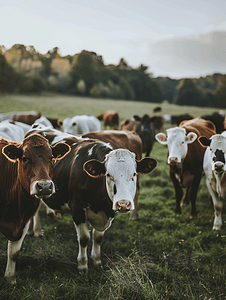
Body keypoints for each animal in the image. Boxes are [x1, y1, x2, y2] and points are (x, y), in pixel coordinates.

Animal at [0, 134, 70, 284]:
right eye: (25, 158)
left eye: (51, 157)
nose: (44, 186)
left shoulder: (24, 221)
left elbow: (13, 253)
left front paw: (10, 279)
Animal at [24, 125, 155, 276]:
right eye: (108, 175)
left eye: (134, 174)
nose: (123, 204)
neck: (101, 204)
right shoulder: (77, 209)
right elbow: (84, 238)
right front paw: (82, 265)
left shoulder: (108, 213)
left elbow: (98, 238)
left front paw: (97, 262)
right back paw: (37, 231)